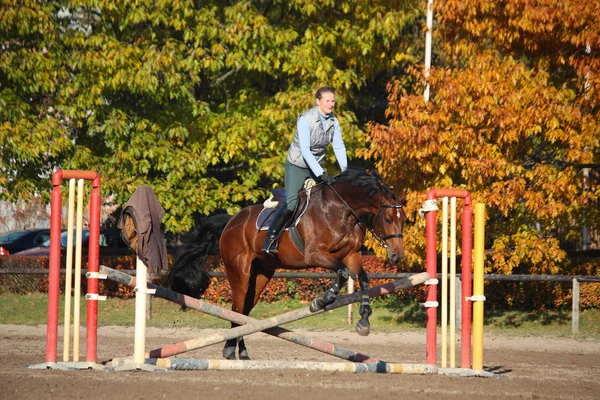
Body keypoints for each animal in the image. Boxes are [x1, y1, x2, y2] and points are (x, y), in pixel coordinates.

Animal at [166, 167, 406, 360]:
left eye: (404, 220)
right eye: (387, 219)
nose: (397, 256)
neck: (341, 210)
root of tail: (231, 222)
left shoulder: (352, 255)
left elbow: (363, 278)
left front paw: (363, 322)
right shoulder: (315, 254)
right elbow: (342, 272)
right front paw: (322, 300)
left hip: (261, 275)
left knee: (244, 311)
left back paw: (242, 352)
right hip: (239, 273)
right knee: (236, 308)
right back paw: (229, 351)